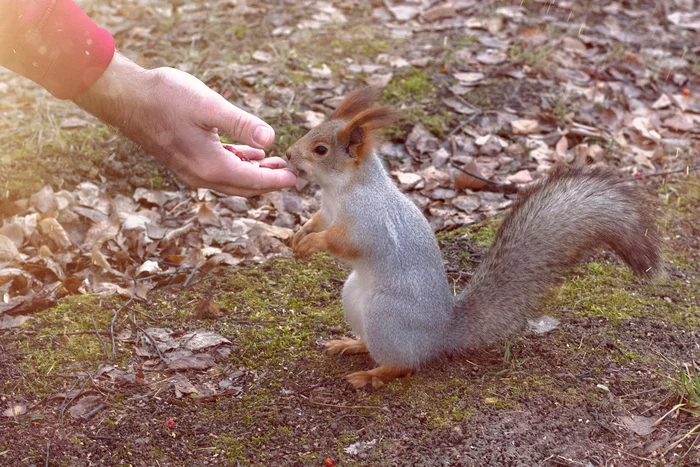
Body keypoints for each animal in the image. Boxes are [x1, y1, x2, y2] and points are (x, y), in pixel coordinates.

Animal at [284, 86, 660, 390]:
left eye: (320, 149)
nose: (288, 154)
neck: (341, 190)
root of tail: (439, 335)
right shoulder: (328, 211)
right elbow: (317, 220)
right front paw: (298, 234)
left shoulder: (371, 222)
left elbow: (349, 243)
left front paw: (312, 243)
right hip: (353, 299)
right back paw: (351, 345)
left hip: (386, 315)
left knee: (406, 364)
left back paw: (372, 375)